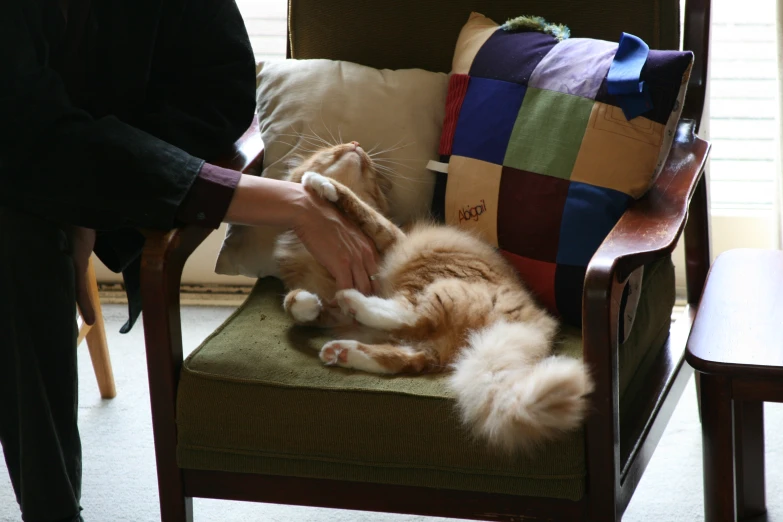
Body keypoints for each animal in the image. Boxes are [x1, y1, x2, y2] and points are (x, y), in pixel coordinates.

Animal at [272, 140, 592, 448]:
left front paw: (321, 183)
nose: (354, 144)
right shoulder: (334, 311)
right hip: (425, 336)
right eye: (327, 149)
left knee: (408, 315)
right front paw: (306, 303)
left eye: (370, 169)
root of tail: (535, 323)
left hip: (424, 271)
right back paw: (343, 350)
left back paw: (355, 303)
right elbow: (296, 306)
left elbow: (360, 206)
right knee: (408, 356)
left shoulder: (391, 238)